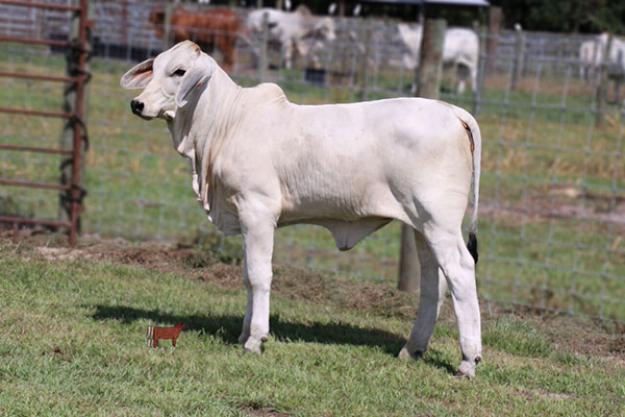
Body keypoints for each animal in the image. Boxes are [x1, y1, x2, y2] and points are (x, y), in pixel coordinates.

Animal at [120, 41, 483, 378]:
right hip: (421, 225)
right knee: (433, 282)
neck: (225, 123)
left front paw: (256, 338)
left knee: (461, 271)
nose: (137, 104)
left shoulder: (257, 210)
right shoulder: (244, 216)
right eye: (155, 67)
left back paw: (468, 360)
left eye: (179, 71)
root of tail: (452, 110)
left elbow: (259, 275)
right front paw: (243, 333)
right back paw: (412, 348)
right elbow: (247, 275)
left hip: (439, 222)